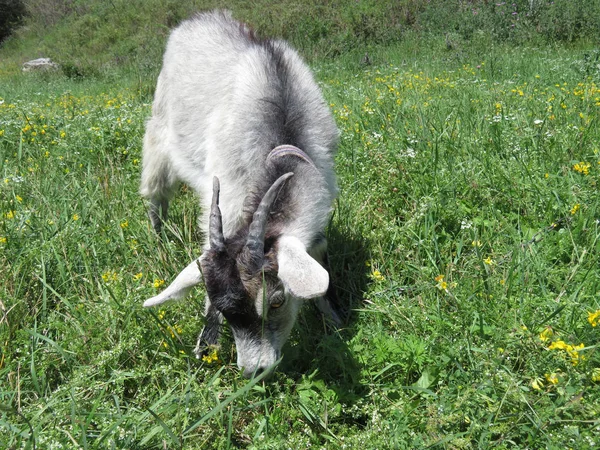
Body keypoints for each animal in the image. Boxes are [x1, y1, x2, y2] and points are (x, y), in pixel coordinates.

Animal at [138, 10, 340, 376]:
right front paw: (206, 343)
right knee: (156, 195)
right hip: (159, 134)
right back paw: (158, 238)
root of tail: (199, 17)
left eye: (277, 300)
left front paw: (334, 321)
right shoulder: (226, 198)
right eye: (221, 308)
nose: (253, 371)